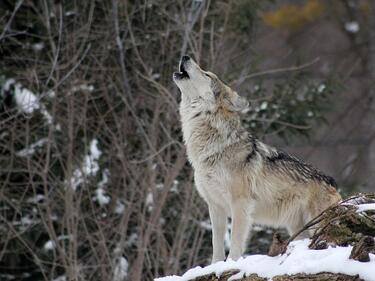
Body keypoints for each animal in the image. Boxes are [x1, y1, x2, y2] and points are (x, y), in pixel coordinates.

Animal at [172, 55, 342, 262]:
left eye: (207, 74)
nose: (185, 56)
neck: (214, 147)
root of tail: (332, 182)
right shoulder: (215, 206)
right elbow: (216, 245)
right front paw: (216, 265)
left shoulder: (240, 204)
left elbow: (235, 243)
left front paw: (231, 263)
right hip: (298, 229)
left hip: (316, 223)